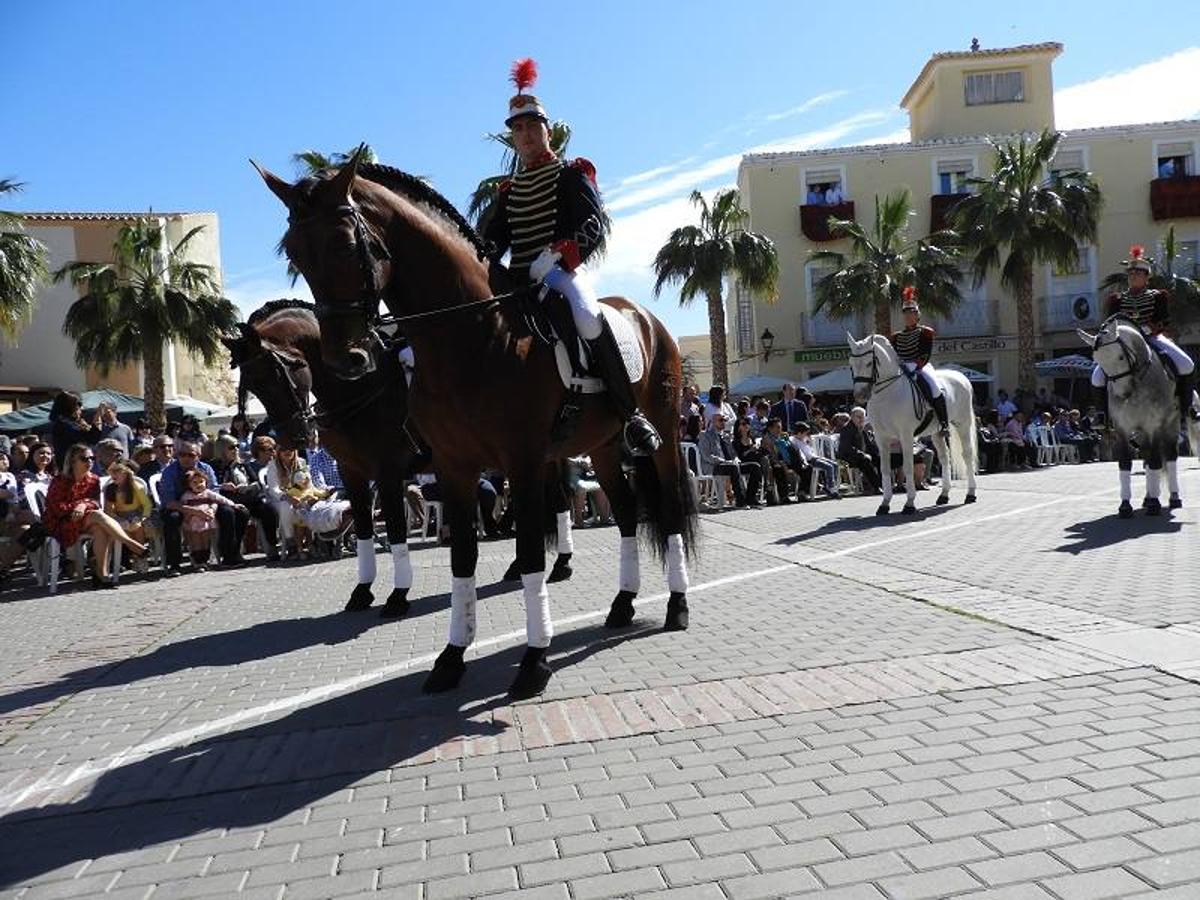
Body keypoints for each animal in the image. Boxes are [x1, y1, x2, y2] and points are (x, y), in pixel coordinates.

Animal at [225, 300, 422, 619]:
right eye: (252, 386)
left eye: (277, 372)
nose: (290, 438)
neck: (361, 386)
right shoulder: (352, 472)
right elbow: (364, 527)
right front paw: (362, 591)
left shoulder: (388, 472)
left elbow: (394, 529)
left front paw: (398, 595)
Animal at [258, 151, 700, 700]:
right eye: (296, 254)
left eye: (343, 243)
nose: (348, 358)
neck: (473, 336)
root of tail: (644, 316)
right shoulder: (448, 468)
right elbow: (459, 558)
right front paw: (450, 657)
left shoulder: (513, 461)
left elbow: (527, 554)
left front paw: (533, 660)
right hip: (600, 449)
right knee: (623, 517)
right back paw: (622, 604)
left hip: (660, 440)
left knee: (668, 512)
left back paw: (676, 605)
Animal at [844, 331, 974, 513]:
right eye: (851, 364)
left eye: (870, 362)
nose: (860, 395)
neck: (887, 394)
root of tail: (961, 376)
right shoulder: (881, 437)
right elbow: (884, 468)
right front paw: (884, 503)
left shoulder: (905, 435)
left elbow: (907, 466)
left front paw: (910, 503)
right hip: (937, 432)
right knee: (944, 457)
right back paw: (944, 495)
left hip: (963, 423)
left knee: (967, 454)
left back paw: (971, 494)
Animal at [1080, 316, 1180, 518]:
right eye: (1098, 361)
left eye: (1120, 356)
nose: (1122, 395)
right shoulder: (1122, 428)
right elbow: (1125, 463)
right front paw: (1125, 506)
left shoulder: (1153, 426)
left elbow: (1156, 461)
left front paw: (1155, 505)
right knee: (1146, 457)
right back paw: (1148, 497)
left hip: (1170, 425)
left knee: (1170, 456)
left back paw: (1173, 497)